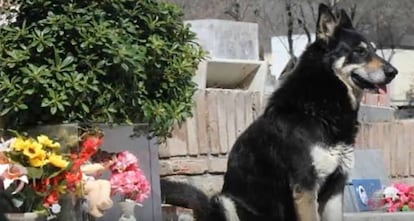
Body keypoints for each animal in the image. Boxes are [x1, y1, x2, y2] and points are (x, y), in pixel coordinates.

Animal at [159, 3, 398, 221]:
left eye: (373, 49)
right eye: (359, 51)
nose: (393, 72)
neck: (322, 104)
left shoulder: (335, 188)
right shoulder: (305, 186)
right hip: (225, 201)